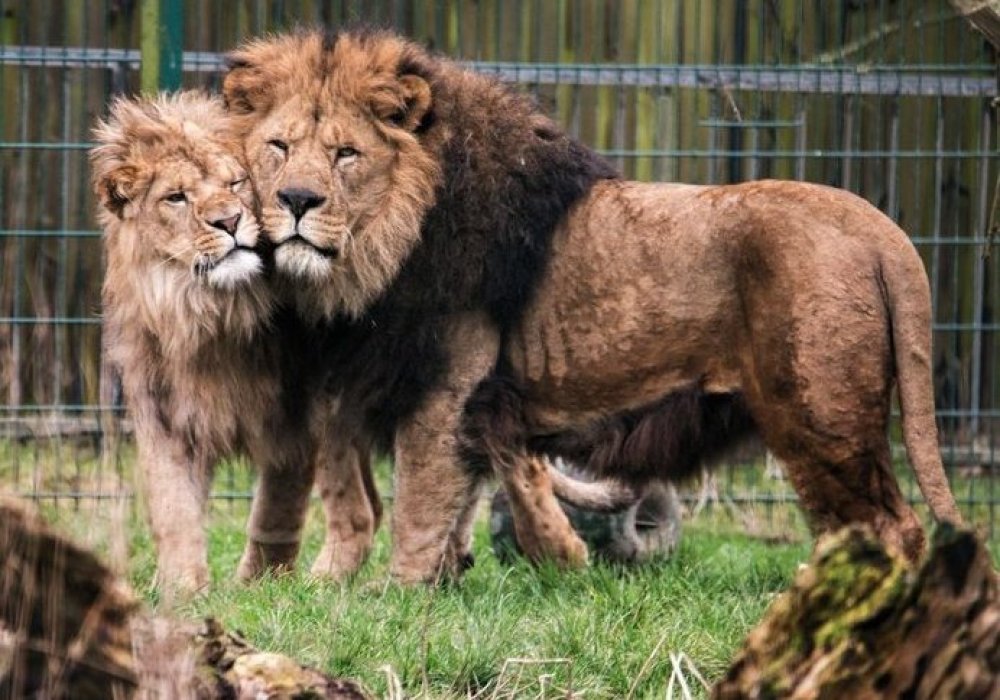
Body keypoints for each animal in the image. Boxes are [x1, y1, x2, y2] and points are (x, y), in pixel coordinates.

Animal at [92, 91, 380, 592]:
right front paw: (181, 589)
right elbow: (173, 508)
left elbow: (277, 508)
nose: (229, 220)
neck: (209, 313)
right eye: (175, 197)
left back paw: (326, 585)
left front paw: (263, 585)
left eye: (236, 182)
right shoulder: (164, 412)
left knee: (361, 513)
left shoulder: (297, 410)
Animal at [225, 30, 960, 584]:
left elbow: (419, 506)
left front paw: (397, 597)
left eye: (346, 154)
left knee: (891, 527)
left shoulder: (445, 389)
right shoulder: (427, 395)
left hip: (819, 416)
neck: (381, 248)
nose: (296, 200)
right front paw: (437, 579)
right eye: (279, 147)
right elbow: (437, 501)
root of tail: (882, 229)